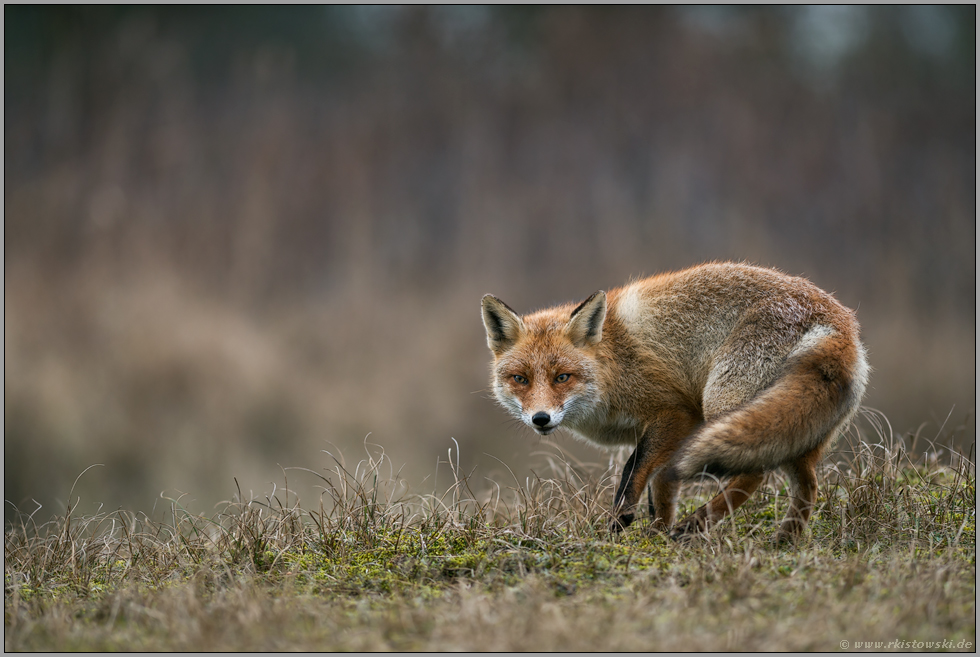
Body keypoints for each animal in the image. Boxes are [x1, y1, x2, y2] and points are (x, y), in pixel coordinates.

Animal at [481, 262, 869, 543]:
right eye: (520, 379)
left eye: (563, 377)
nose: (541, 418)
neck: (612, 362)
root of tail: (840, 323)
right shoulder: (674, 430)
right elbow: (661, 488)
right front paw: (656, 535)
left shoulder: (676, 413)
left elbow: (634, 472)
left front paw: (619, 526)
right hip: (796, 427)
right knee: (808, 483)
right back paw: (784, 541)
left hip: (725, 406)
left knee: (755, 472)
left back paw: (696, 525)